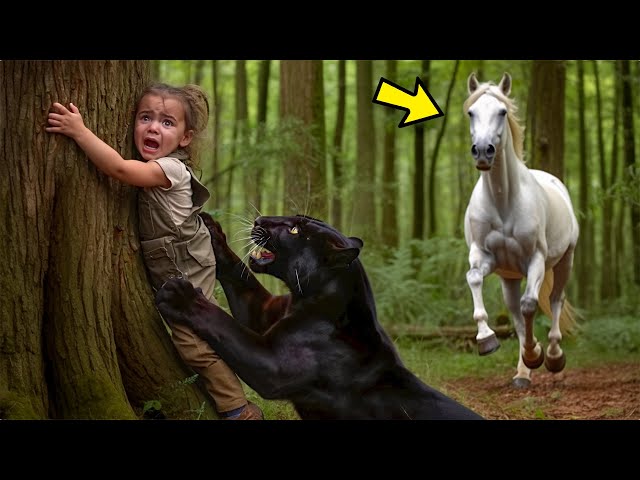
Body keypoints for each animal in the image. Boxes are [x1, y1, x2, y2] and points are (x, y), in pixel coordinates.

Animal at [463, 72, 580, 388]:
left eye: (502, 111)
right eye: (471, 112)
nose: (482, 151)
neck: (503, 201)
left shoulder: (535, 259)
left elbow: (531, 305)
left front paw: (537, 354)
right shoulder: (484, 256)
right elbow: (474, 279)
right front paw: (486, 340)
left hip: (564, 261)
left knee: (554, 301)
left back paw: (552, 357)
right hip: (510, 277)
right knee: (515, 315)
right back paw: (522, 374)